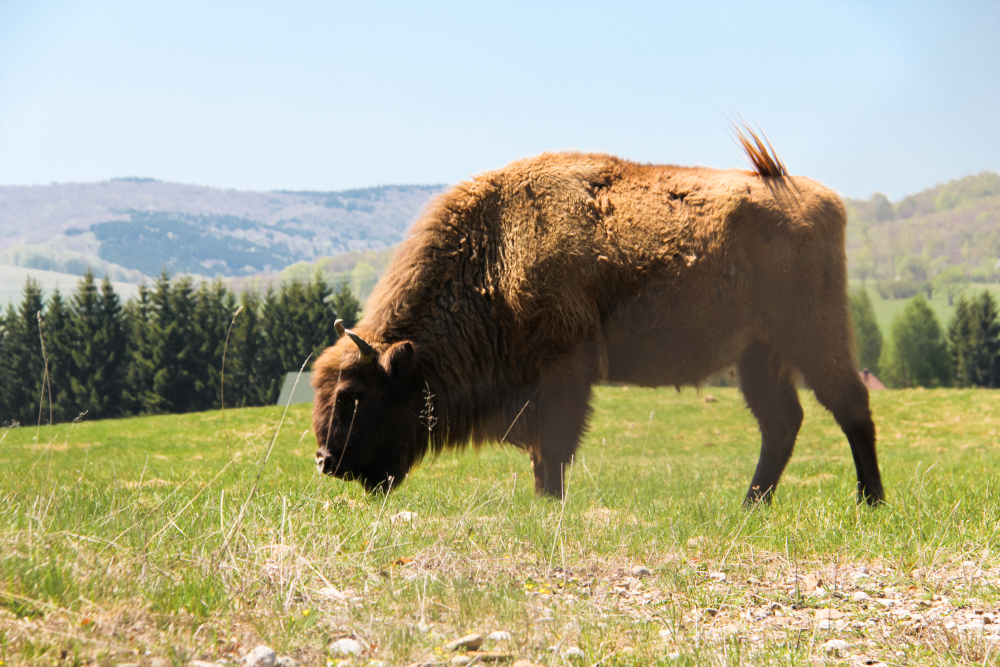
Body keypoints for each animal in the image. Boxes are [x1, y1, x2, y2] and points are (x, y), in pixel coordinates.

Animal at [312, 130, 884, 506]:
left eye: (352, 395)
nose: (325, 460)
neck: (496, 250)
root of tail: (819, 197)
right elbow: (544, 451)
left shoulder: (565, 371)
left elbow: (553, 447)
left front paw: (549, 504)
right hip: (757, 355)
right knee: (782, 422)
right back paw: (750, 505)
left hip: (813, 334)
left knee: (850, 406)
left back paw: (869, 502)